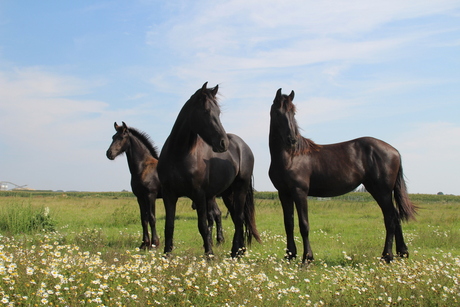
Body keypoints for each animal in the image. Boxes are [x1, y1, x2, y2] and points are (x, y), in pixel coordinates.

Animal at [157, 82, 258, 258]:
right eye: (205, 111)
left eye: (218, 112)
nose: (223, 143)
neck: (178, 154)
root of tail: (243, 146)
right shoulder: (168, 194)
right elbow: (169, 225)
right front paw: (167, 255)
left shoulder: (199, 195)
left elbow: (203, 225)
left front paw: (209, 254)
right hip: (227, 194)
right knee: (237, 217)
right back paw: (240, 250)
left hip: (241, 188)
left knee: (239, 218)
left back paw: (235, 252)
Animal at [270, 89, 416, 264]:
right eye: (278, 113)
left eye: (293, 112)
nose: (291, 139)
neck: (291, 156)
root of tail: (394, 151)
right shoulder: (284, 193)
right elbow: (288, 224)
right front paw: (290, 255)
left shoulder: (300, 192)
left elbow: (304, 224)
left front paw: (307, 258)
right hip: (379, 191)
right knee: (395, 216)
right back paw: (402, 252)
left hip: (382, 191)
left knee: (390, 218)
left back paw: (386, 256)